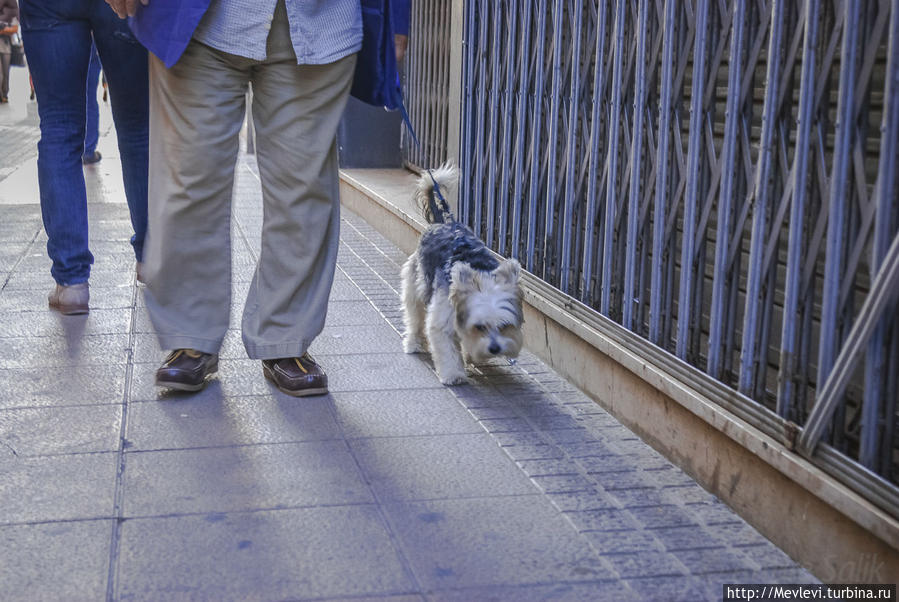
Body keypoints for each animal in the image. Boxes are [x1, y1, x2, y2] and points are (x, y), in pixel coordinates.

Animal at [402, 163, 524, 384]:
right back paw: (413, 343)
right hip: (415, 285)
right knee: (414, 316)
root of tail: (444, 222)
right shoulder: (442, 318)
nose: (495, 349)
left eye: (504, 326)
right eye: (480, 326)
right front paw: (454, 374)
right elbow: (447, 349)